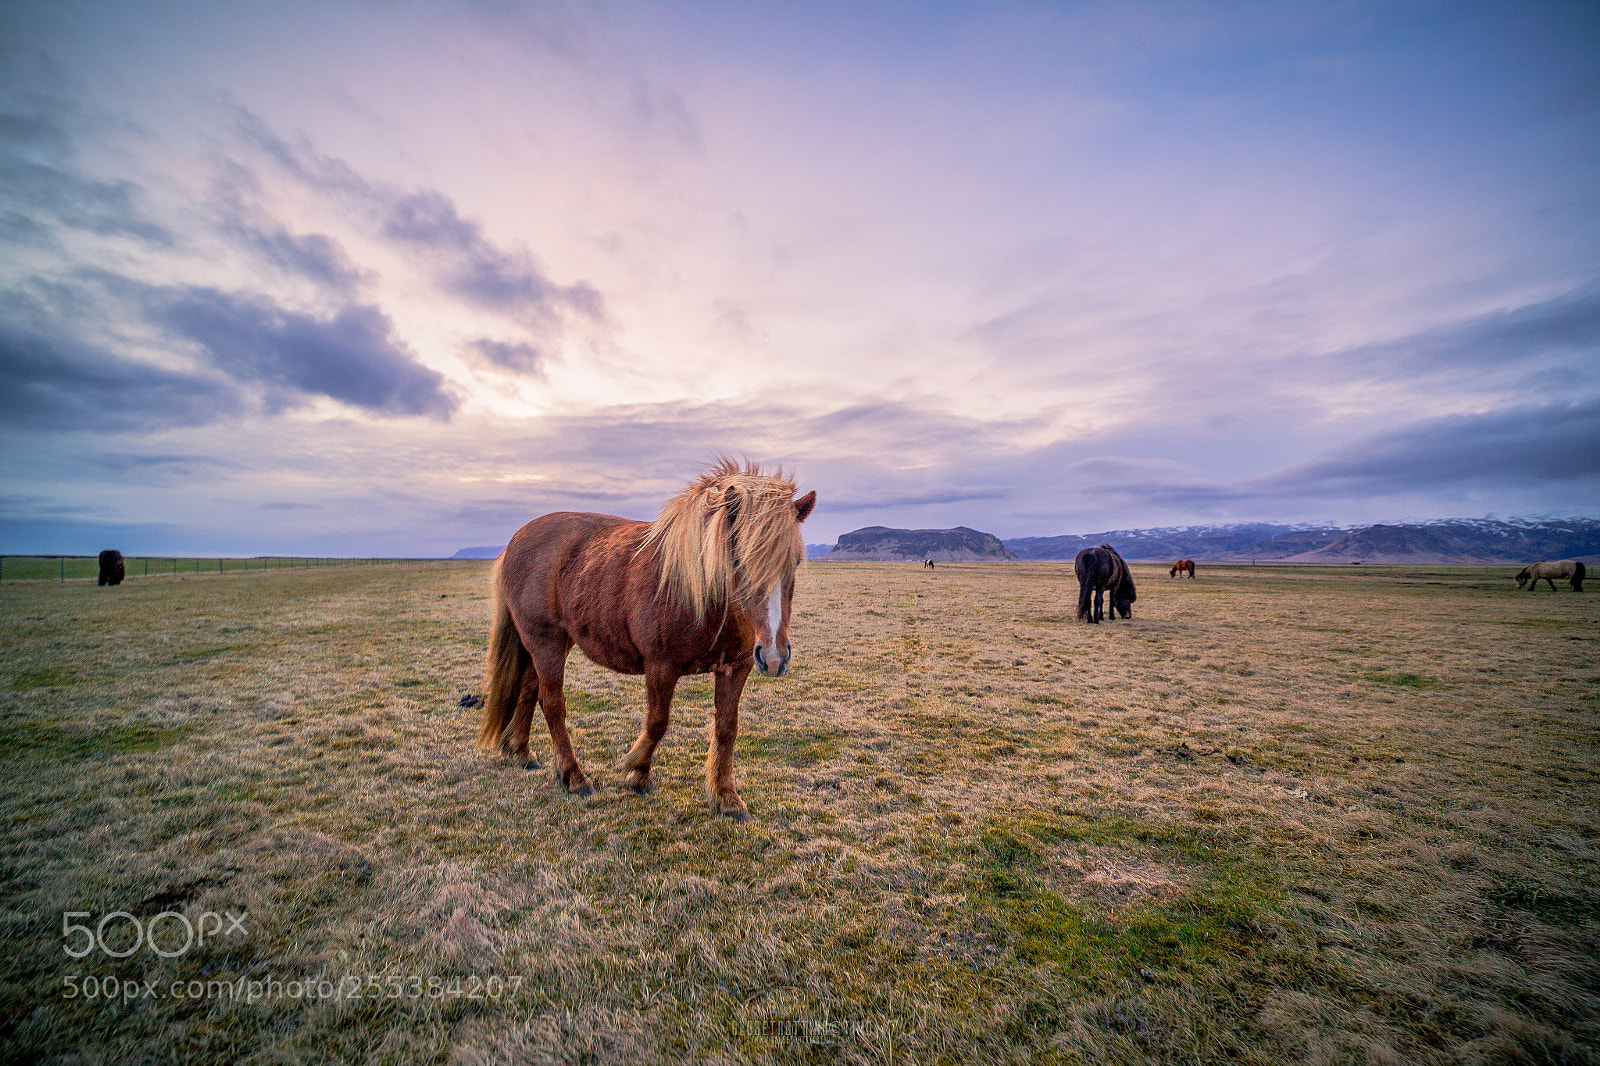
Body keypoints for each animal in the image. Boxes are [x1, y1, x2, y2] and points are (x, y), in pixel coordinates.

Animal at [478, 459, 817, 821]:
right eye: (737, 559)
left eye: (795, 561)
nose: (774, 658)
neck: (698, 592)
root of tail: (515, 541)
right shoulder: (660, 667)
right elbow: (657, 723)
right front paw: (637, 771)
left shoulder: (735, 668)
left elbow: (727, 728)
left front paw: (727, 797)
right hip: (546, 642)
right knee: (552, 702)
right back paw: (574, 777)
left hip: (547, 642)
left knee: (529, 690)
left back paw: (522, 753)